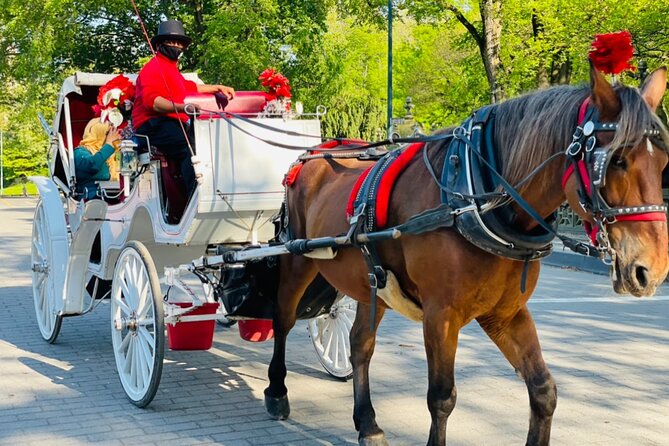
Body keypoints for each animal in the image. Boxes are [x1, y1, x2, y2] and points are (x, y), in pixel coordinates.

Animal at [264, 64, 669, 445]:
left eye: (662, 162)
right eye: (616, 159)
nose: (651, 270)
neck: (477, 198)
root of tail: (315, 153)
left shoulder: (505, 313)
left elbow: (543, 389)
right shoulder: (441, 315)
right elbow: (442, 398)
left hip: (372, 284)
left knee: (360, 344)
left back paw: (368, 423)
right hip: (297, 262)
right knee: (283, 320)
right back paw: (277, 391)